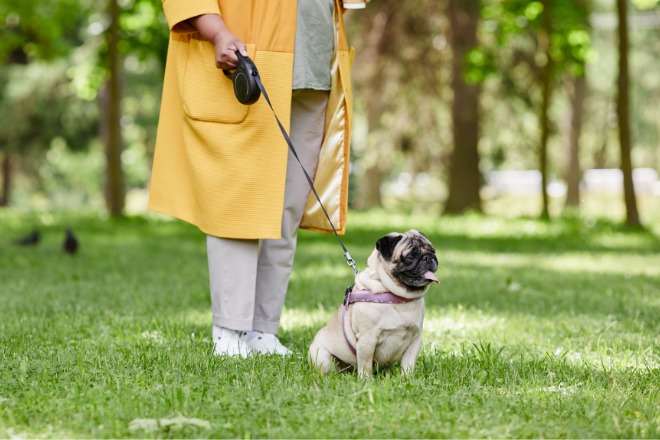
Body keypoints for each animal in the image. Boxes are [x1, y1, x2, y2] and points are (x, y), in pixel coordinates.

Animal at [308, 229, 438, 376]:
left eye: (433, 251)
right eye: (411, 256)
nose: (428, 257)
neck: (399, 297)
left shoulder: (415, 339)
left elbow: (408, 364)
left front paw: (407, 378)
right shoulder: (367, 339)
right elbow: (366, 365)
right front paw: (366, 380)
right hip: (322, 357)